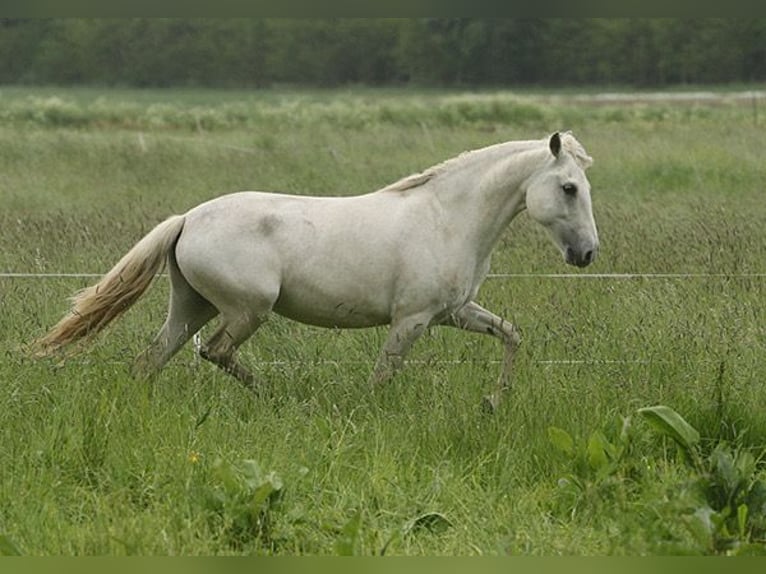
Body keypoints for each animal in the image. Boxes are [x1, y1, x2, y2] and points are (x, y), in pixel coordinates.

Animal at [34, 131, 598, 410]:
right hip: (247, 310)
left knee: (151, 360)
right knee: (214, 352)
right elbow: (384, 373)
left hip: (191, 306)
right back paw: (277, 399)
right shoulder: (412, 319)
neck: (448, 216)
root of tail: (188, 218)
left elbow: (511, 335)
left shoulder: (454, 312)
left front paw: (493, 403)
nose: (588, 253)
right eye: (569, 187)